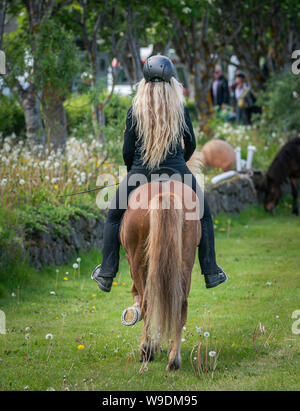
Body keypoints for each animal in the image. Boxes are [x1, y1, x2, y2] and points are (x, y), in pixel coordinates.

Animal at [120, 180, 202, 374]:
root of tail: (164, 192)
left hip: (138, 261)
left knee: (147, 303)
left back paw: (146, 350)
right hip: (185, 262)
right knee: (179, 305)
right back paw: (174, 359)